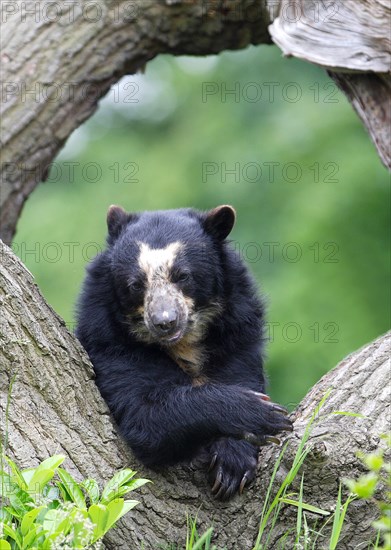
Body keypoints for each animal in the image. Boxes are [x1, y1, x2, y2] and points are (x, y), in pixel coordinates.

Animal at [76, 205, 292, 502]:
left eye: (183, 276)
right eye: (136, 284)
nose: (165, 322)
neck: (184, 342)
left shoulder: (238, 334)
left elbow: (240, 375)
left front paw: (231, 466)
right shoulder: (109, 341)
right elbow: (146, 414)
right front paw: (264, 415)